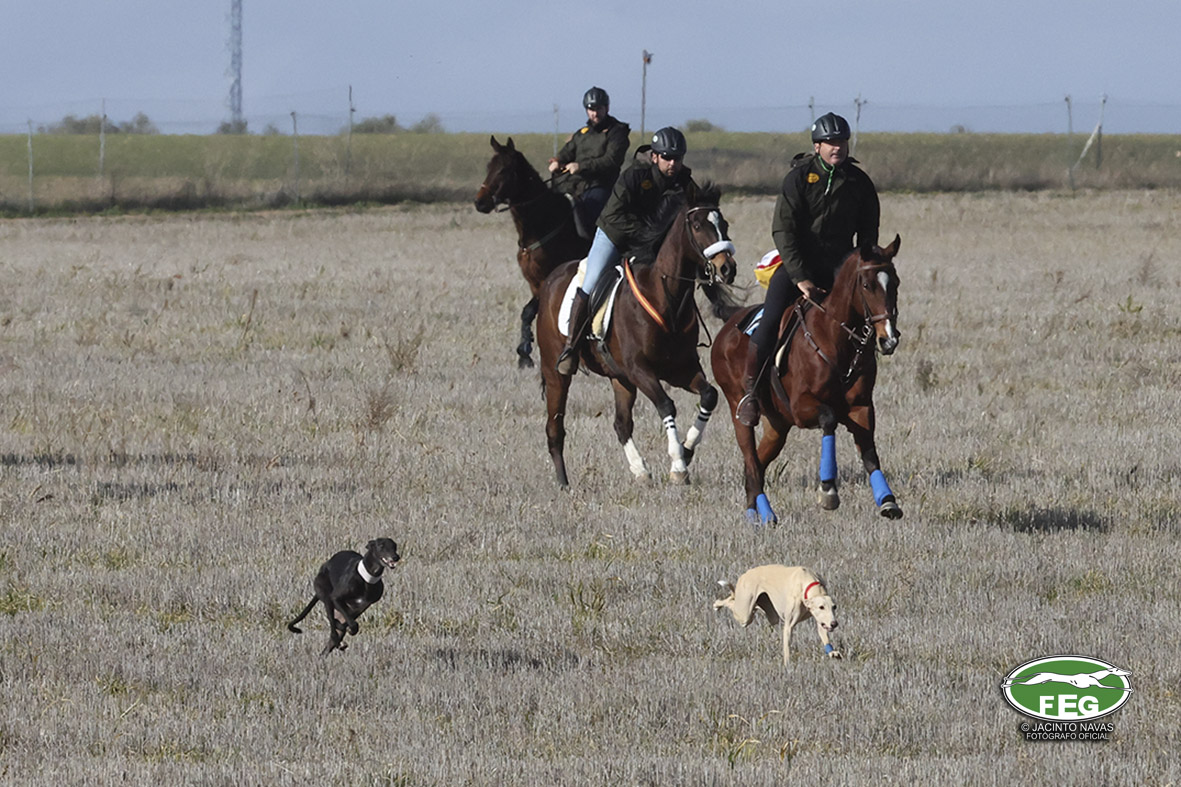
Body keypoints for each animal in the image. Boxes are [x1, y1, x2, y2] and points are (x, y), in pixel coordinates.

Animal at [475, 136, 590, 368]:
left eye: (503, 170)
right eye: (489, 167)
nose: (480, 202)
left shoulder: (548, 280)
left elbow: (530, 311)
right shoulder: (534, 283)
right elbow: (527, 313)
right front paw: (524, 353)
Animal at [536, 184, 740, 487]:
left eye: (723, 224)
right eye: (697, 225)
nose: (727, 268)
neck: (666, 298)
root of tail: (551, 279)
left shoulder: (680, 369)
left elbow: (709, 395)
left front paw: (688, 448)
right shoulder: (640, 369)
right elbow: (666, 405)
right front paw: (678, 464)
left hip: (620, 379)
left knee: (621, 423)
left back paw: (640, 470)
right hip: (556, 372)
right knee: (555, 426)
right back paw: (563, 483)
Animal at [711, 236, 903, 524]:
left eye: (896, 283)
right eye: (867, 285)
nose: (888, 339)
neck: (836, 340)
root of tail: (728, 325)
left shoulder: (861, 407)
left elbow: (869, 452)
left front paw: (887, 500)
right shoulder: (802, 408)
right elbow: (829, 418)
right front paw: (828, 491)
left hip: (777, 426)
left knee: (755, 465)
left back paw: (754, 514)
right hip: (739, 410)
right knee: (751, 461)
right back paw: (765, 515)